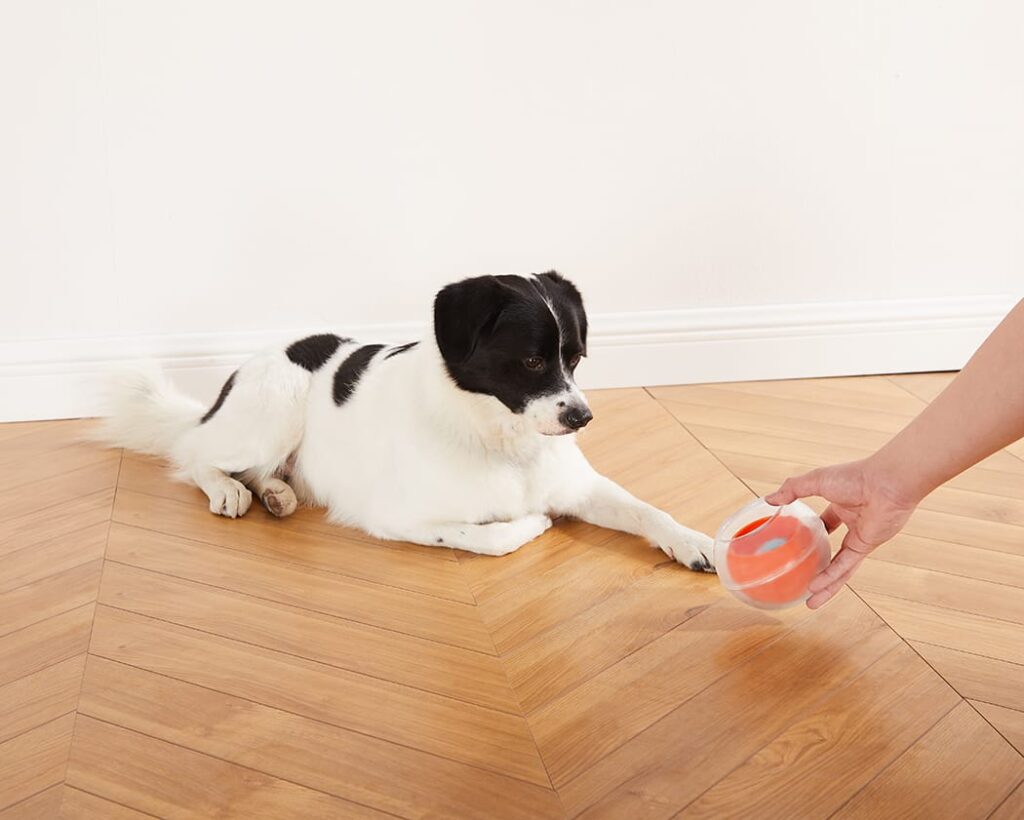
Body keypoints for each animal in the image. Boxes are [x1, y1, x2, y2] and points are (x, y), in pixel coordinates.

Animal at [99, 274, 716, 569]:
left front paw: (694, 541)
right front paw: (532, 524)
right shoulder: (398, 517)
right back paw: (229, 490)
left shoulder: (583, 487)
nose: (583, 417)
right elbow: (489, 537)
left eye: (577, 358)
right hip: (274, 410)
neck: (501, 439)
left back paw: (276, 492)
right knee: (195, 457)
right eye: (533, 361)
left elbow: (649, 509)